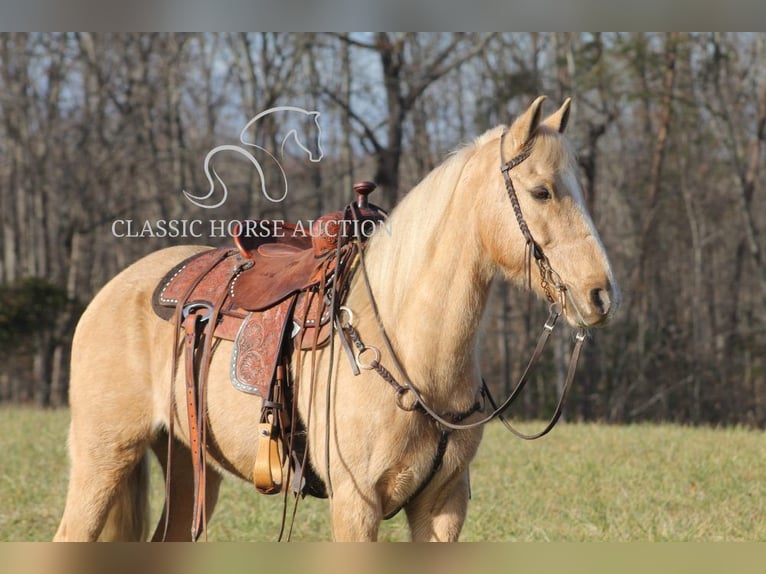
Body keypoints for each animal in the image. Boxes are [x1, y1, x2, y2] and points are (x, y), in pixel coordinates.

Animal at [54, 97, 620, 544]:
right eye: (542, 191)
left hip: (190, 467)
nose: (601, 294)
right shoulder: (356, 503)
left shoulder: (444, 504)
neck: (408, 349)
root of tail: (112, 291)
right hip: (103, 459)